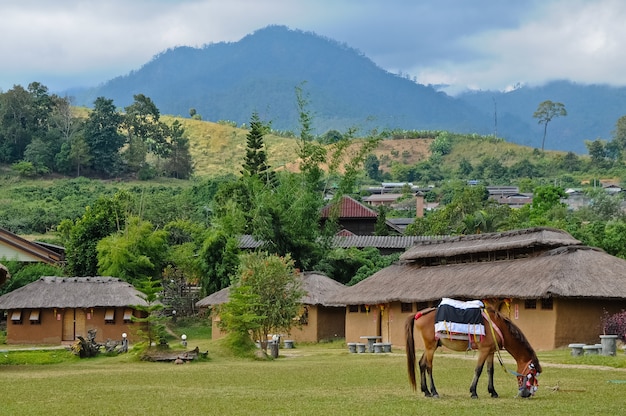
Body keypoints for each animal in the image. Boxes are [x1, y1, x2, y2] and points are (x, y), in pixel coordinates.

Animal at [408, 306, 540, 400]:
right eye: (531, 374)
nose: (527, 394)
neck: (498, 327)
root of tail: (419, 315)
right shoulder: (484, 350)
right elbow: (478, 370)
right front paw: (473, 392)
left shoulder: (490, 352)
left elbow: (490, 371)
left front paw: (493, 391)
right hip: (430, 347)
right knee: (429, 367)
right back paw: (434, 392)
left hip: (431, 347)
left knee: (422, 364)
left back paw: (426, 391)